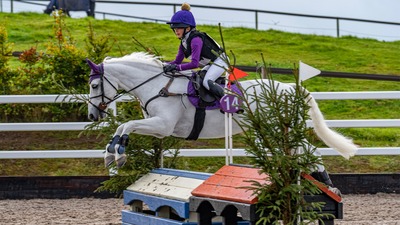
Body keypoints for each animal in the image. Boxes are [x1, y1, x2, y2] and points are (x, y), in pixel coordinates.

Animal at [86, 52, 356, 172]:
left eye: (94, 85)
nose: (92, 116)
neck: (157, 85)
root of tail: (291, 88)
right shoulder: (158, 129)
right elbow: (123, 126)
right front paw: (111, 154)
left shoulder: (163, 125)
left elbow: (128, 125)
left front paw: (119, 154)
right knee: (307, 151)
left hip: (277, 128)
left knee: (308, 151)